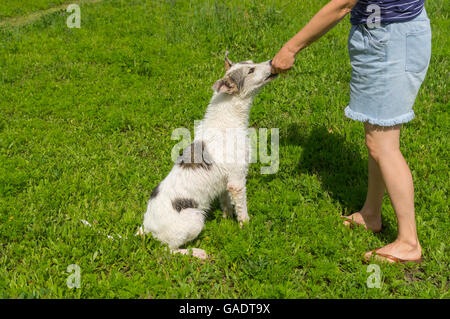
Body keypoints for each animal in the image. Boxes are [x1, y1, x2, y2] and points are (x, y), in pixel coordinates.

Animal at [137, 51, 278, 258]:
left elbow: (227, 204)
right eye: (251, 70)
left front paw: (227, 219)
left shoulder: (226, 183)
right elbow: (242, 210)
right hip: (194, 219)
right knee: (169, 250)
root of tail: (147, 228)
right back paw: (197, 253)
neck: (227, 120)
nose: (271, 62)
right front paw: (246, 228)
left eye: (251, 63)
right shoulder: (237, 180)